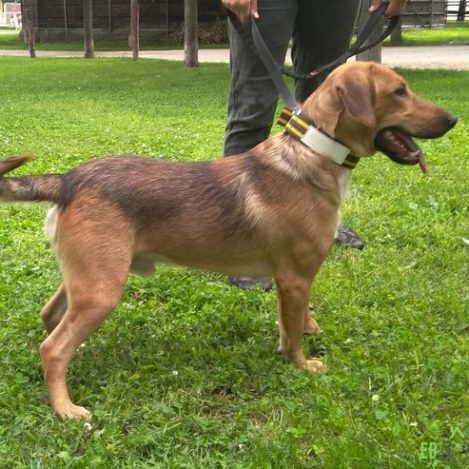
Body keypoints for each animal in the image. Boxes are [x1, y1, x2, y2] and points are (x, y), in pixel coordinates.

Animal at [0, 62, 456, 419]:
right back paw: (65, 408)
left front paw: (310, 328)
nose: (453, 120)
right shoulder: (292, 279)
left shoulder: (301, 277)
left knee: (50, 318)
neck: (313, 153)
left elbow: (302, 316)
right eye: (399, 91)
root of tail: (68, 180)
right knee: (52, 348)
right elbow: (289, 335)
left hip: (87, 278)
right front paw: (301, 363)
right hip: (102, 289)